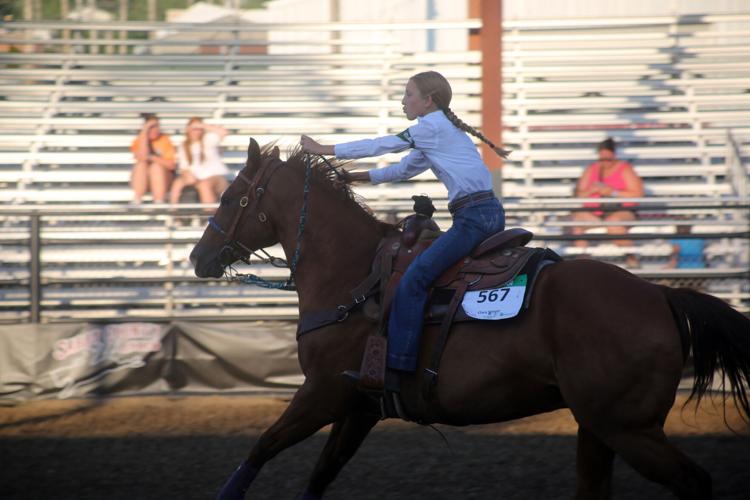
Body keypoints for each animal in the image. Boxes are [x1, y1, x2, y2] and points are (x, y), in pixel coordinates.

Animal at [190, 139, 750, 500]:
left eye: (231, 196)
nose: (198, 257)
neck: (352, 274)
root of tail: (660, 294)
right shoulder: (359, 407)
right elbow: (319, 477)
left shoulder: (323, 393)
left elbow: (262, 448)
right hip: (599, 426)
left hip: (628, 428)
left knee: (695, 482)